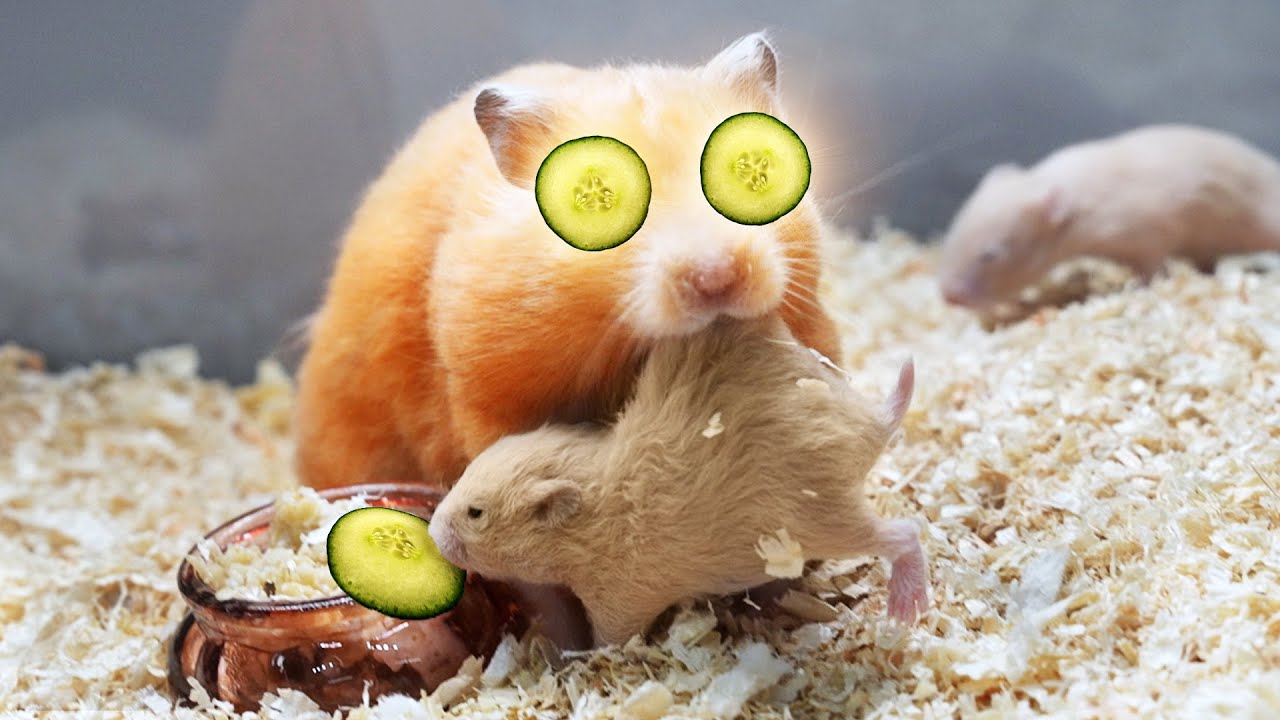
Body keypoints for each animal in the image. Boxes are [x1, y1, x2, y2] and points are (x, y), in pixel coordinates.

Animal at [428, 315, 927, 646]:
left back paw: (907, 610)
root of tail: (873, 426)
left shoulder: (619, 600)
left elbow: (611, 639)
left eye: (476, 513)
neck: (591, 524)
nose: (432, 533)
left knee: (904, 534)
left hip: (823, 520)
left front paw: (584, 657)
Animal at [937, 124, 1280, 313]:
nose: (949, 298)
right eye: (951, 236)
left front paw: (1143, 287)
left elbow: (1151, 264)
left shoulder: (1145, 232)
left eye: (991, 254)